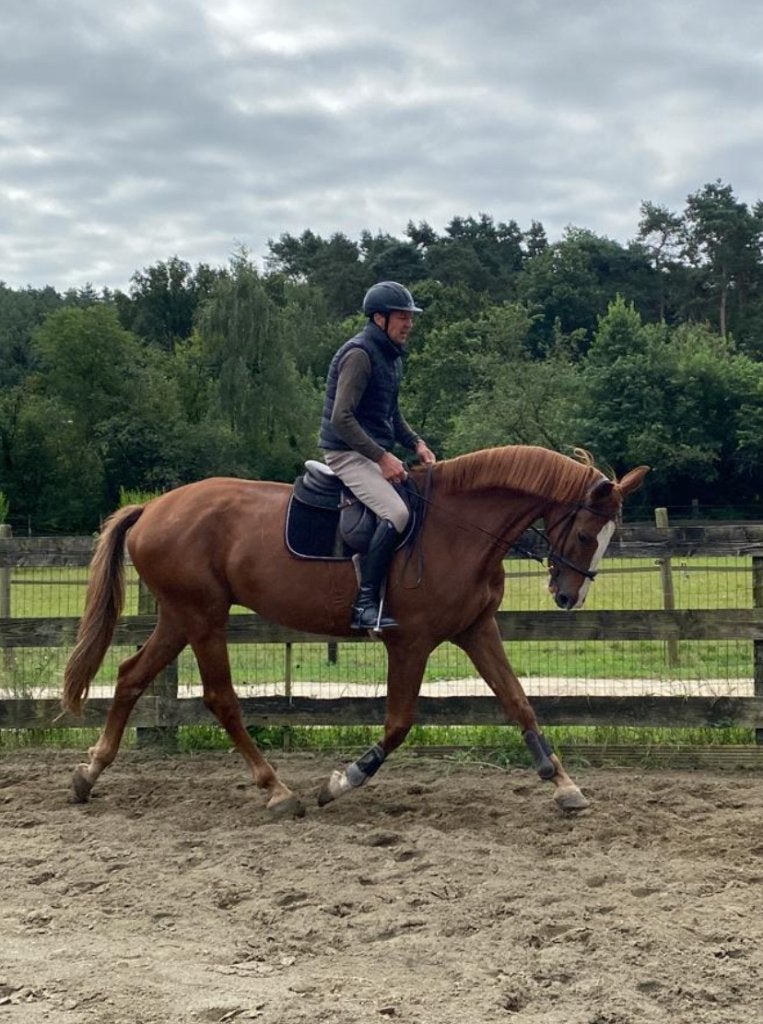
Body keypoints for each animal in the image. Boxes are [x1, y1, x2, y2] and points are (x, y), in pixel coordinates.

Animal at [62, 444, 648, 817]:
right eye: (587, 534)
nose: (569, 598)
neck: (458, 529)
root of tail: (152, 508)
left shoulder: (476, 629)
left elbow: (519, 703)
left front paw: (564, 786)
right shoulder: (411, 642)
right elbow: (399, 723)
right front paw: (342, 781)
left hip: (180, 616)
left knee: (130, 676)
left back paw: (89, 774)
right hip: (203, 617)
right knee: (220, 698)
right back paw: (279, 791)